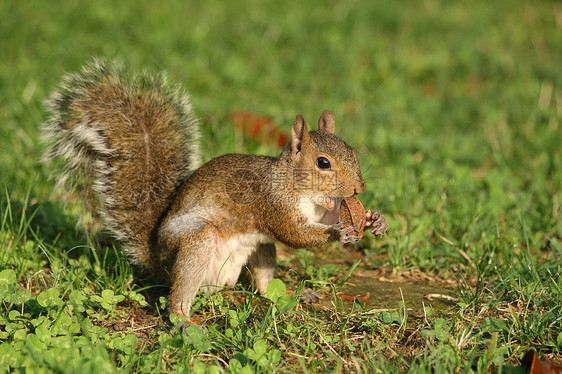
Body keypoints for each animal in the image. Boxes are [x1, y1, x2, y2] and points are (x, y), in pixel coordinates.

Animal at [41, 60, 388, 318]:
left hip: (260, 247)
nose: (359, 187)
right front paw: (338, 233)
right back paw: (183, 319)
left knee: (264, 286)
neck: (302, 189)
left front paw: (375, 219)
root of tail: (157, 261)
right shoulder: (272, 202)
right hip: (196, 241)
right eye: (323, 163)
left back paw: (295, 294)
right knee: (180, 292)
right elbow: (295, 234)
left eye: (353, 152)